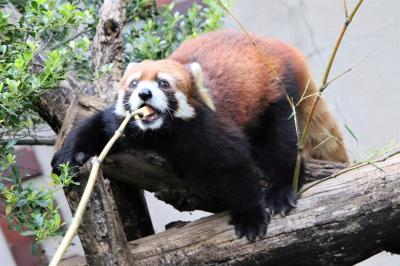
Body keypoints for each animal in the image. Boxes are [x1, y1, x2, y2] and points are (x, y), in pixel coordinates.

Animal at [52, 30, 346, 242]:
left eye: (163, 83)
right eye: (133, 84)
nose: (144, 94)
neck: (163, 132)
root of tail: (279, 46)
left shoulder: (212, 129)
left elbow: (236, 169)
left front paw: (250, 215)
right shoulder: (126, 124)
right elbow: (97, 129)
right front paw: (67, 157)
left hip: (275, 94)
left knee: (281, 143)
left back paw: (281, 189)